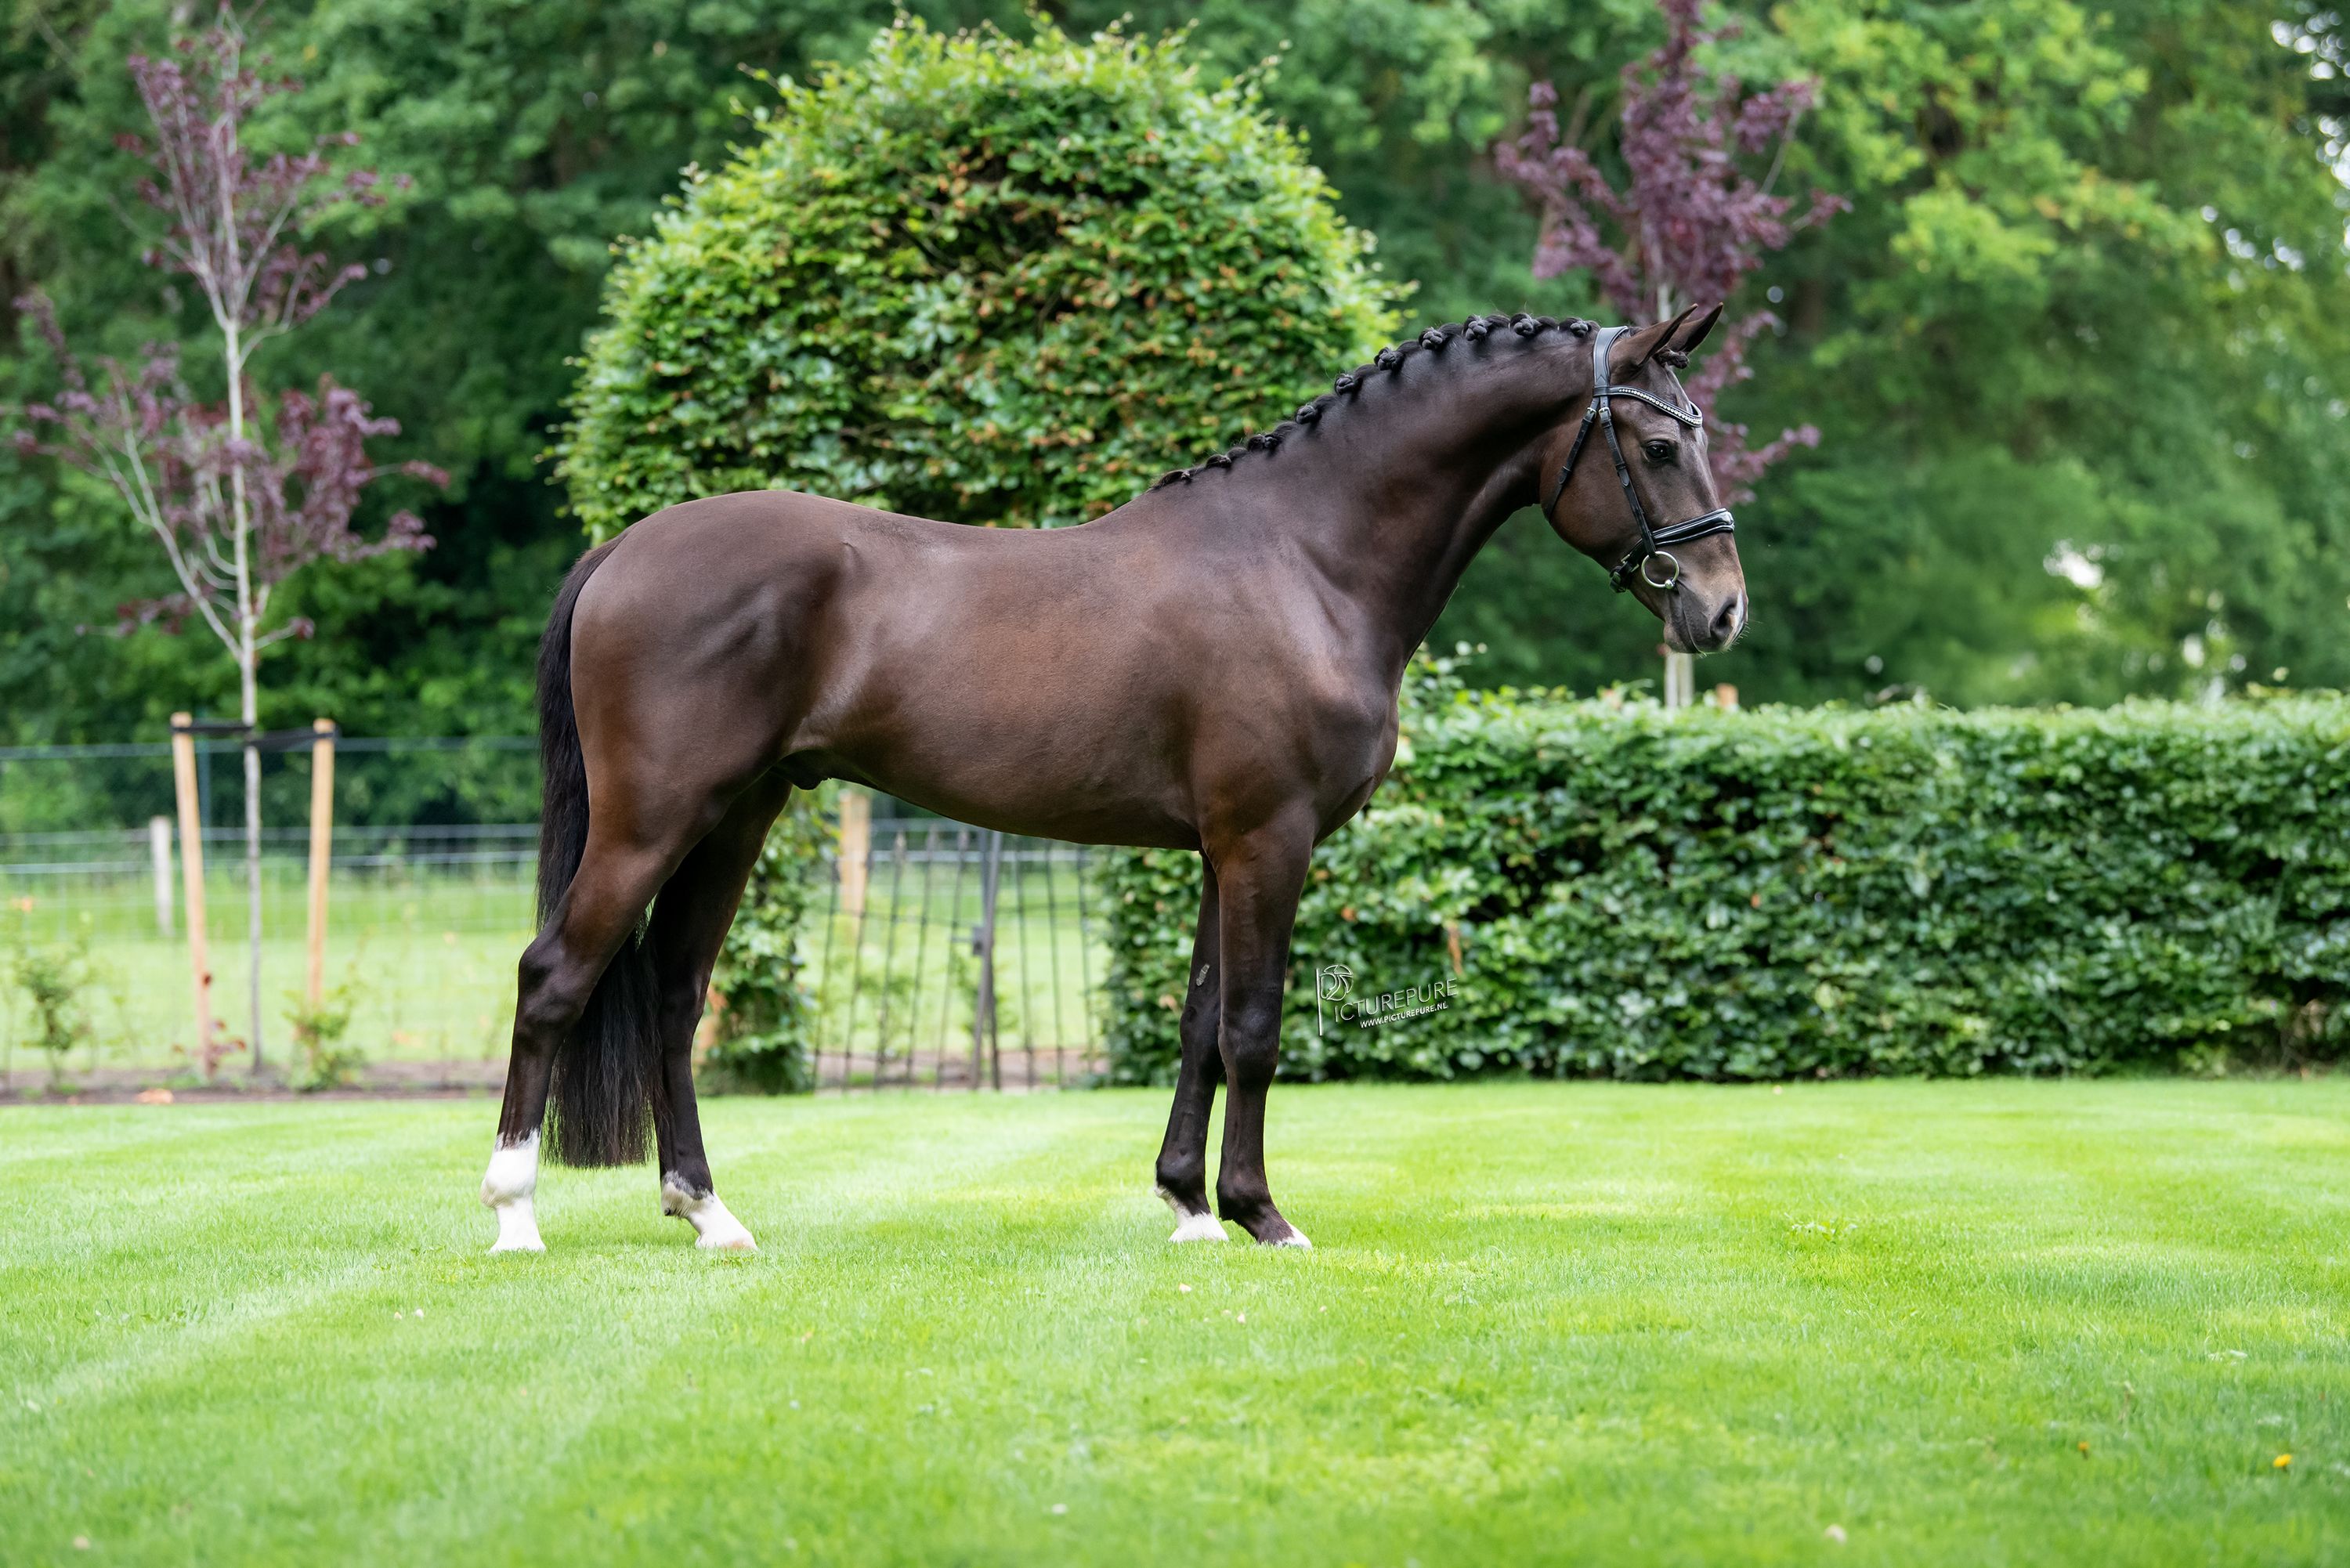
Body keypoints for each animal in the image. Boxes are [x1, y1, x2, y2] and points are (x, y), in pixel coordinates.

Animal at [478, 305, 1748, 1253]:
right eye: (1659, 446)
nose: (1722, 610)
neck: (1305, 559)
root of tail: (624, 548)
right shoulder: (1268, 839)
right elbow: (1254, 1027)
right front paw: (1262, 1215)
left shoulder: (1221, 850)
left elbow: (1198, 1023)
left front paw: (1188, 1204)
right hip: (653, 819)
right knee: (554, 977)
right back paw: (514, 1215)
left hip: (733, 819)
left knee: (672, 995)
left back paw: (708, 1212)